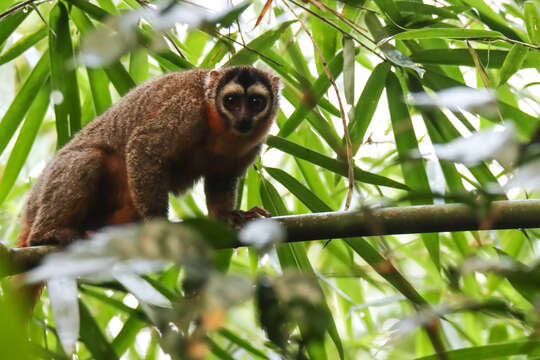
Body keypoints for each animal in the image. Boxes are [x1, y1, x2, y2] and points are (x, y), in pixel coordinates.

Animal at [17, 66, 278, 249]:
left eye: (256, 102)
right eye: (231, 101)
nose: (243, 119)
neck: (219, 124)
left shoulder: (254, 144)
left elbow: (222, 177)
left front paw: (227, 216)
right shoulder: (185, 110)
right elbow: (144, 146)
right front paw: (157, 223)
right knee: (89, 158)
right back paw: (46, 235)